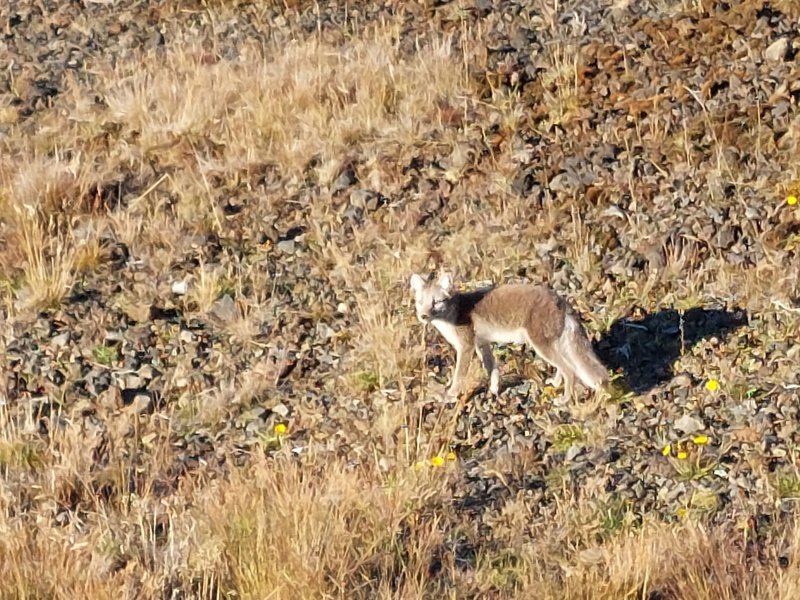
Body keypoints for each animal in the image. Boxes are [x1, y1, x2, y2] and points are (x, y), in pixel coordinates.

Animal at [412, 274, 608, 400]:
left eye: (436, 302)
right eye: (420, 302)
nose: (423, 316)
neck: (453, 314)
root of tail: (560, 300)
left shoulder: (466, 347)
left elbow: (459, 376)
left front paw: (451, 395)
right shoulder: (482, 344)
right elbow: (492, 368)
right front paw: (493, 390)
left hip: (541, 345)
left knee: (570, 370)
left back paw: (565, 399)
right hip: (552, 345)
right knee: (566, 367)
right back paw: (555, 382)